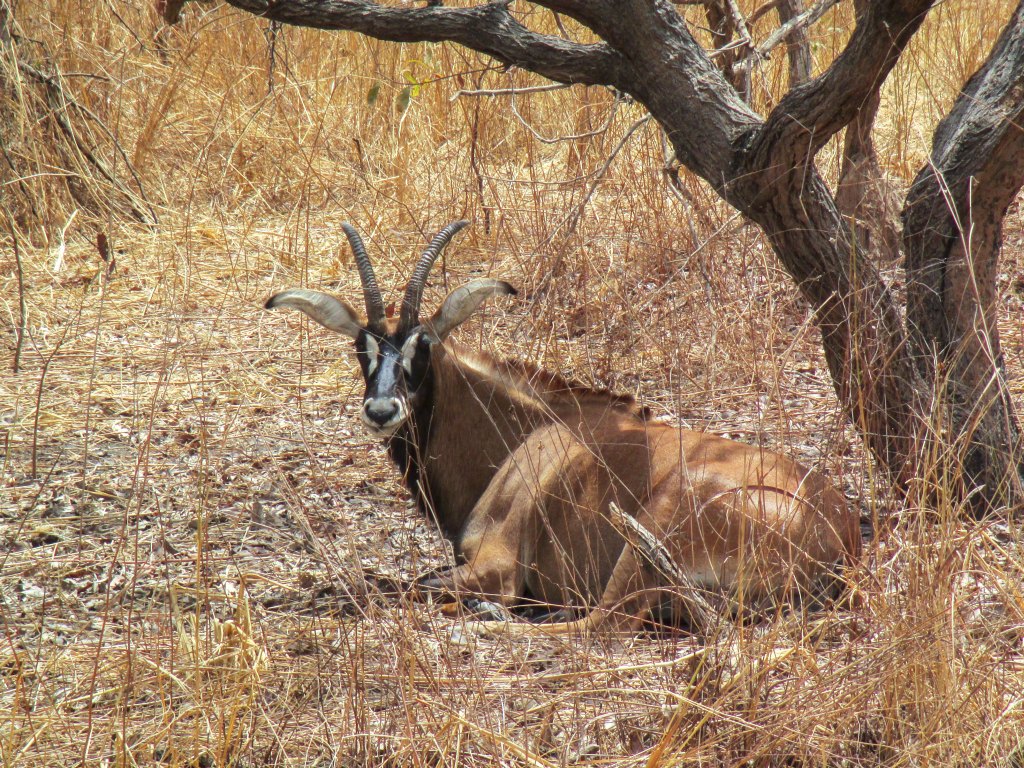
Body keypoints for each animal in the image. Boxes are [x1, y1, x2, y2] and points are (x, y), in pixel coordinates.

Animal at [268, 222, 860, 638]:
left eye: (423, 347)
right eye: (360, 347)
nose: (381, 409)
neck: (525, 429)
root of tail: (841, 539)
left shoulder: (496, 565)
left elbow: (391, 587)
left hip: (655, 531)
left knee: (598, 626)